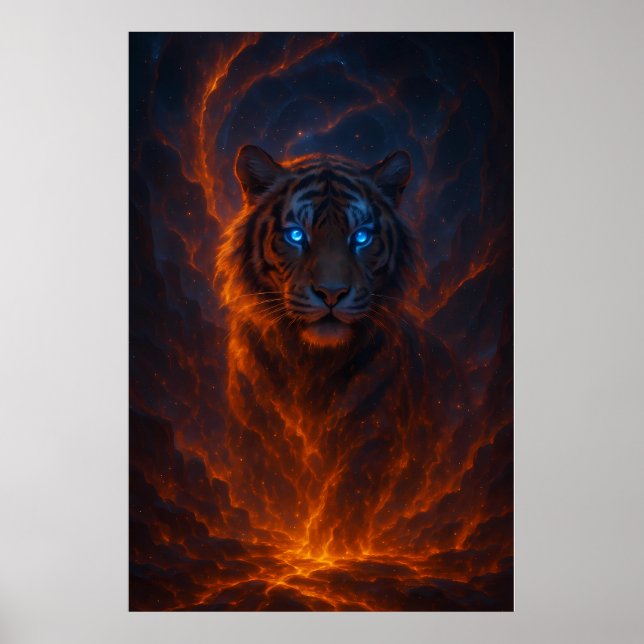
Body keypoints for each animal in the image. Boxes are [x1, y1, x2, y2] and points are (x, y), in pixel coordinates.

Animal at [216, 145, 464, 556]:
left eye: (360, 237)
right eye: (296, 235)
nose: (331, 293)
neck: (312, 364)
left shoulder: (372, 438)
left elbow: (346, 501)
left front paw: (332, 552)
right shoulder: (255, 432)